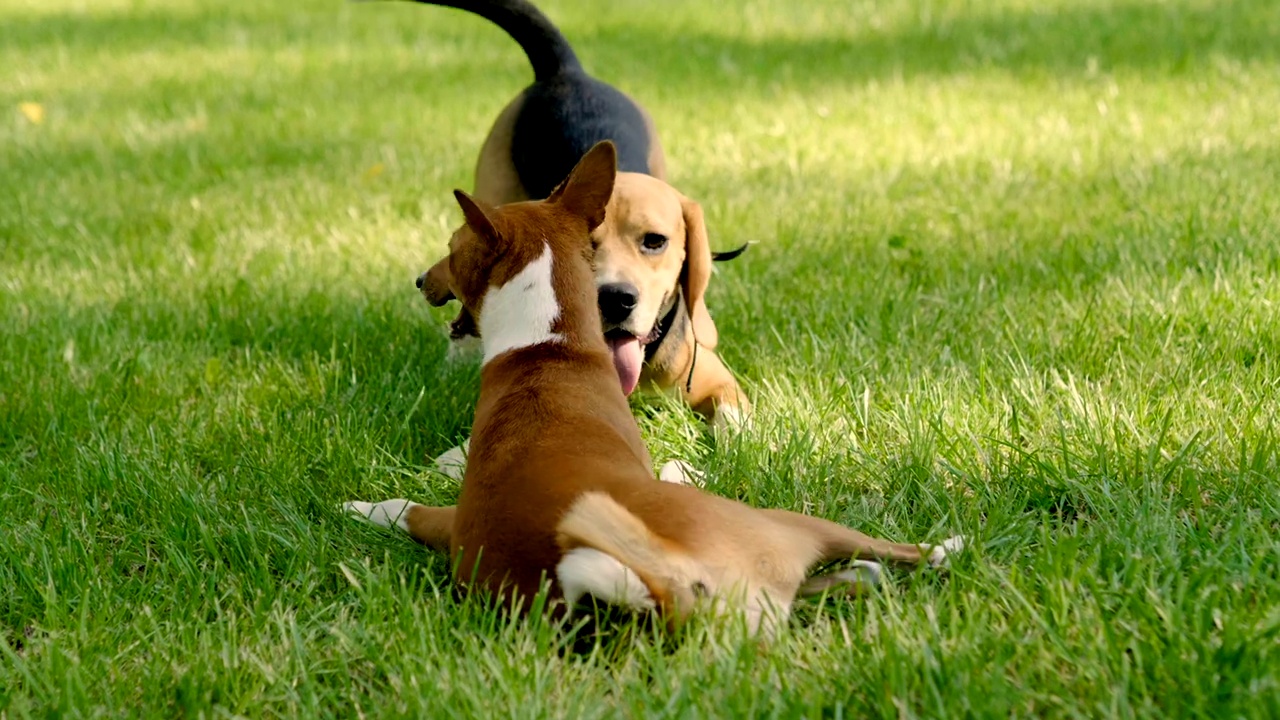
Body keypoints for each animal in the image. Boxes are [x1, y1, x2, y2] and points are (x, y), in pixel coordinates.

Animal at [340, 142, 962, 635]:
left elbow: (405, 508)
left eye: (450, 247)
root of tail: (666, 582)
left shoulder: (455, 525)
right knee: (872, 566)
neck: (547, 347)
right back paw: (918, 556)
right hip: (784, 546)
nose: (421, 279)